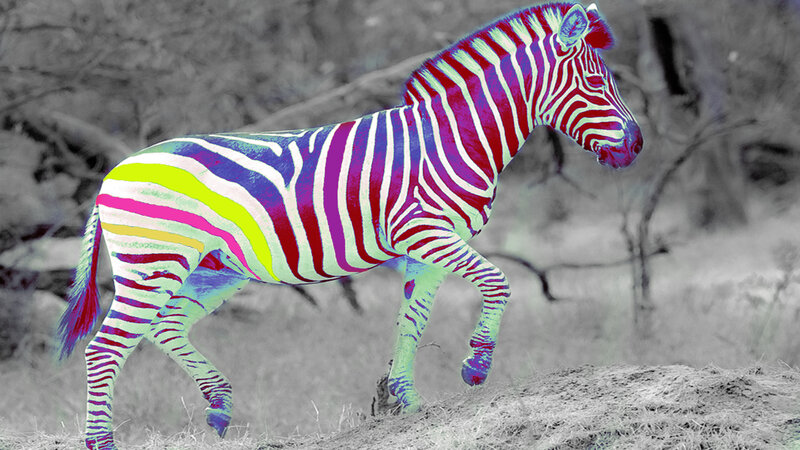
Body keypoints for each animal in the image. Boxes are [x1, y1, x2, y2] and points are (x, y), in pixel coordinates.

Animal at [56, 2, 642, 449]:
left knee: (166, 326)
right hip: (152, 262)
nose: (637, 145)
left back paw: (219, 407)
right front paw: (475, 367)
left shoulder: (430, 245)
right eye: (596, 83)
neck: (455, 137)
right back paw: (101, 442)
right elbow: (498, 281)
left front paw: (407, 403)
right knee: (105, 348)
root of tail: (115, 170)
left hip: (211, 268)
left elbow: (411, 321)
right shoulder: (425, 232)